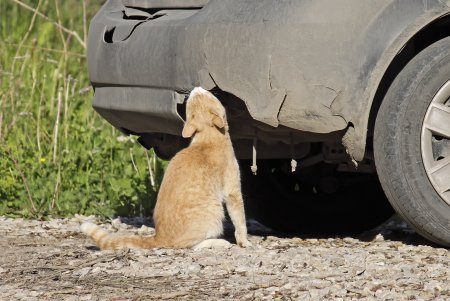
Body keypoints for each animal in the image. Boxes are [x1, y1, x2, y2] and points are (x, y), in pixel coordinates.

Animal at [80, 88, 250, 250]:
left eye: (199, 97)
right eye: (205, 95)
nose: (196, 87)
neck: (207, 137)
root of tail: (159, 237)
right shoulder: (233, 192)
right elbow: (240, 219)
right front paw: (244, 241)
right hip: (214, 212)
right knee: (190, 245)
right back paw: (219, 242)